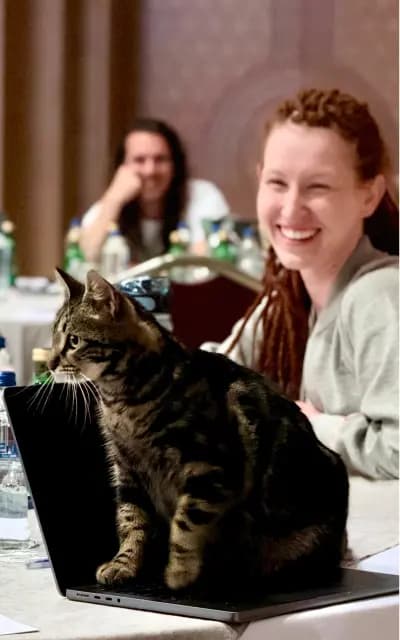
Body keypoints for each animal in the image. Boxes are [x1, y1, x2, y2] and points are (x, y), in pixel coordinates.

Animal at [49, 268, 349, 592]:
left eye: (74, 341)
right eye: (54, 338)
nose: (50, 363)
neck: (123, 402)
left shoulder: (209, 470)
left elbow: (185, 525)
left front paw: (178, 574)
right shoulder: (127, 471)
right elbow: (130, 522)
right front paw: (123, 564)